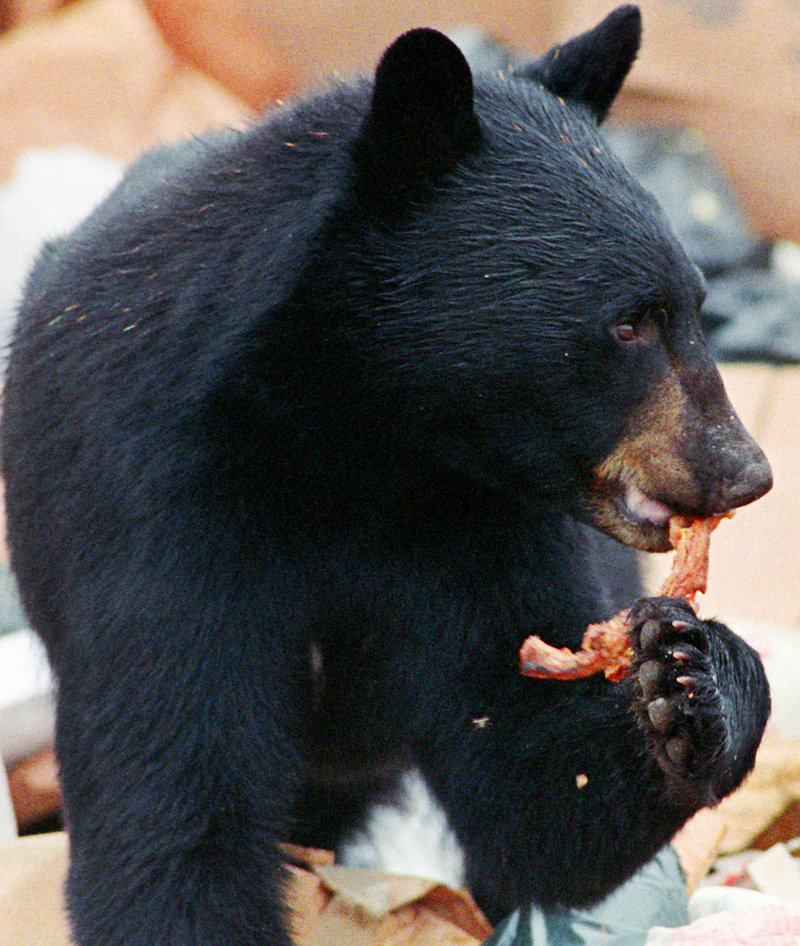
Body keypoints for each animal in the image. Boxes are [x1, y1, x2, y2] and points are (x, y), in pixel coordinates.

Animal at [1, 5, 773, 944]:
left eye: (698, 306)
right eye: (628, 324)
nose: (745, 470)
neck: (353, 432)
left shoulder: (472, 514)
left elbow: (531, 786)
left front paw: (691, 679)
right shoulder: (146, 499)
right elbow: (172, 803)